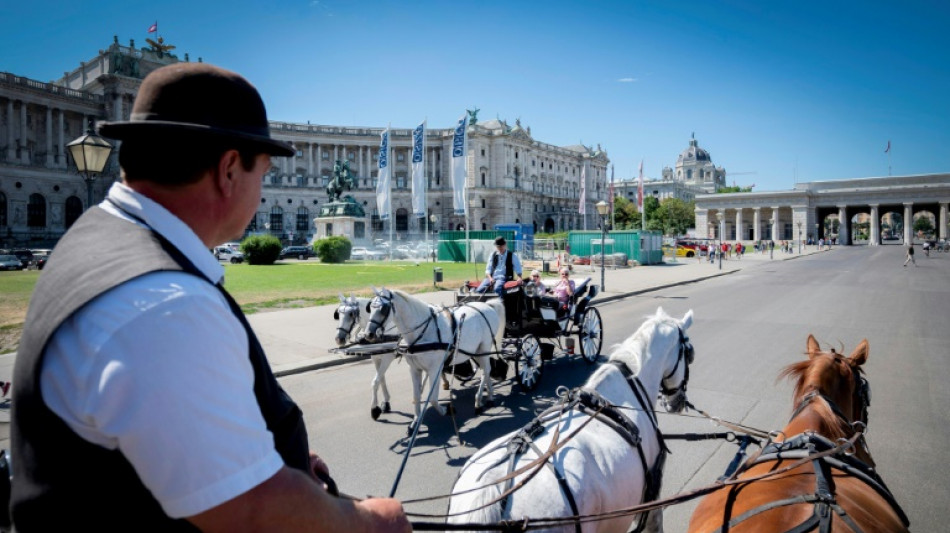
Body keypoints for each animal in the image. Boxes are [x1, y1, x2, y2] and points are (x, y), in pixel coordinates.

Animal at [332, 290, 400, 420]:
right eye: (338, 313)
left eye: (351, 314)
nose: (339, 339)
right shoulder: (376, 357)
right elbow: (381, 379)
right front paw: (386, 403)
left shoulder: (387, 358)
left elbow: (375, 382)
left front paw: (374, 409)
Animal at [366, 286, 510, 428]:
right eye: (370, 308)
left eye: (383, 309)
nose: (368, 334)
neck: (423, 332)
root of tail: (488, 305)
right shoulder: (414, 369)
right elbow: (416, 396)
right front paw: (415, 422)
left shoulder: (434, 369)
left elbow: (433, 399)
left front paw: (447, 410)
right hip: (476, 351)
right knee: (486, 370)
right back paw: (490, 396)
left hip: (484, 347)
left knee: (486, 371)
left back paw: (479, 401)